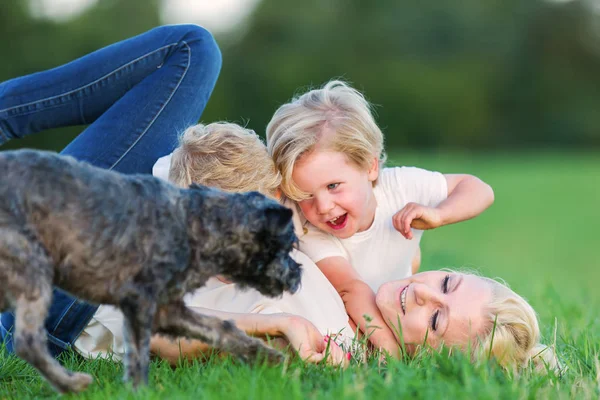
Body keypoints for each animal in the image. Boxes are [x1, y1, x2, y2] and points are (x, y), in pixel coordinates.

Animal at [0, 150, 300, 394]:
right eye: (288, 247)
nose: (298, 276)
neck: (196, 224)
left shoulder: (167, 309)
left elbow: (221, 328)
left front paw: (266, 357)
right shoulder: (140, 302)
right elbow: (138, 354)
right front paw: (140, 391)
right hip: (33, 270)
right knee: (27, 342)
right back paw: (71, 384)